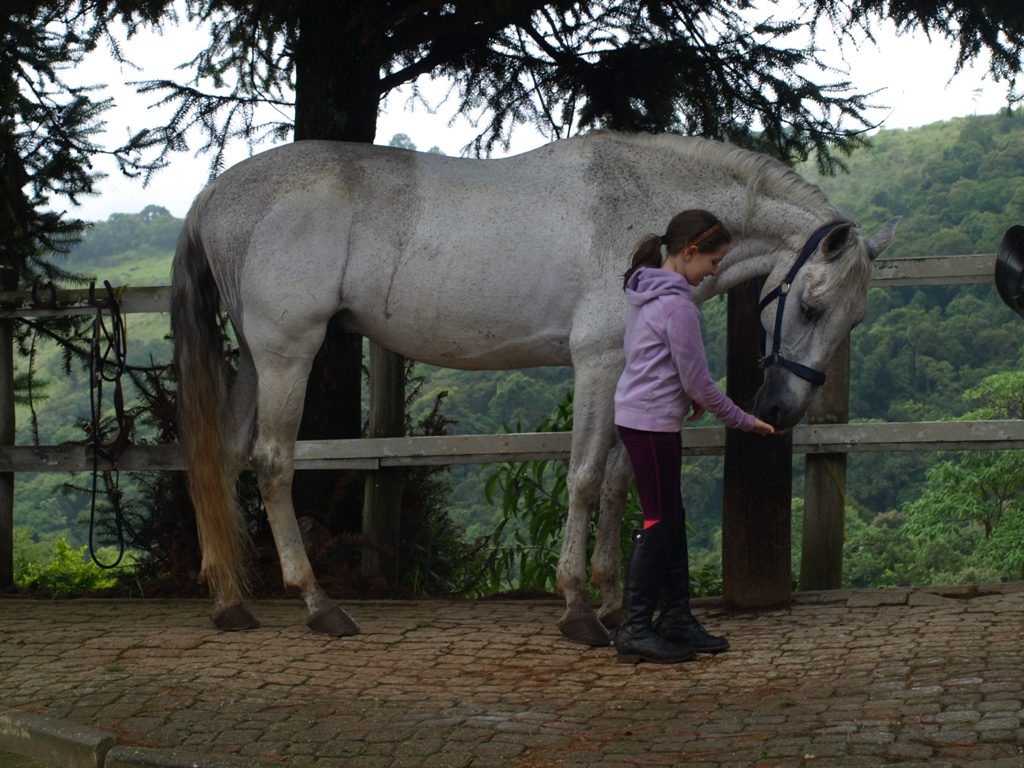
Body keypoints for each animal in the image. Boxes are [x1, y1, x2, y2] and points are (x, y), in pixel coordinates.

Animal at [171, 131, 899, 641]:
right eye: (810, 305)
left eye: (855, 319)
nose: (780, 408)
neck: (642, 212)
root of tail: (212, 195)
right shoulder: (598, 363)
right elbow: (583, 477)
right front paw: (577, 607)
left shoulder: (626, 368)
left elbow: (618, 481)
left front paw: (613, 600)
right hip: (286, 354)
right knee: (272, 464)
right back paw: (318, 603)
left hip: (256, 361)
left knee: (224, 460)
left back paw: (231, 601)